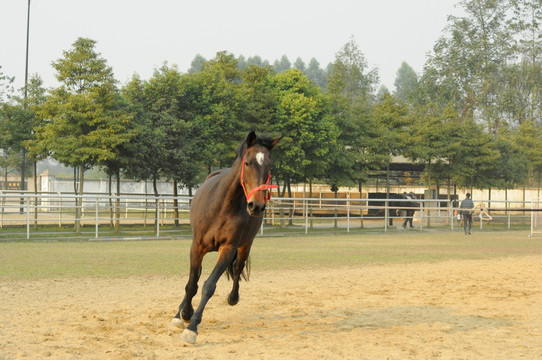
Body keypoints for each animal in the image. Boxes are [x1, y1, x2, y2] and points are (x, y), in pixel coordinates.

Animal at [172, 131, 282, 344]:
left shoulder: (228, 249)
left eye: (270, 166)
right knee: (196, 277)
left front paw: (192, 327)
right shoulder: (196, 247)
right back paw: (178, 313)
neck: (222, 206)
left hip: (246, 244)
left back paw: (232, 298)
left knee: (238, 268)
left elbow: (208, 286)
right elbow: (192, 284)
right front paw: (185, 314)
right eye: (247, 162)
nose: (256, 206)